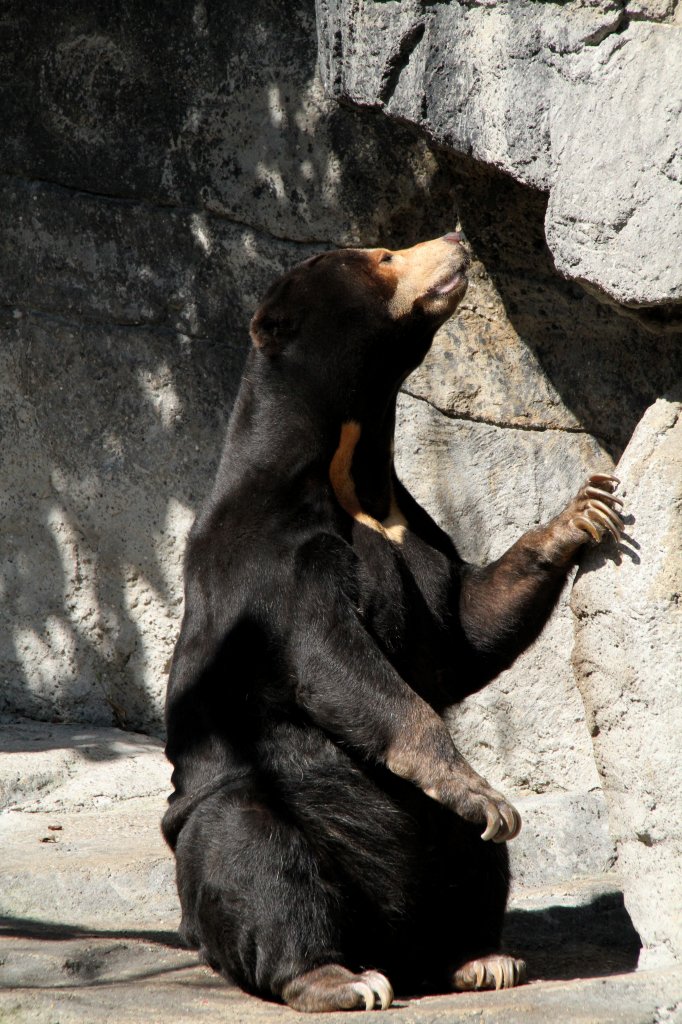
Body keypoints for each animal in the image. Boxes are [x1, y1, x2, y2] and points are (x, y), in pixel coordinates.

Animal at [163, 235, 622, 1011]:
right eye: (380, 256)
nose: (457, 241)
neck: (349, 467)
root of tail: (390, 946)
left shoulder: (416, 530)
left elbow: (461, 629)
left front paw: (583, 512)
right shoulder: (267, 557)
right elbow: (334, 660)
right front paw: (481, 792)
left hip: (436, 852)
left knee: (478, 864)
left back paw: (479, 958)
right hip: (232, 811)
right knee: (256, 857)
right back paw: (337, 977)